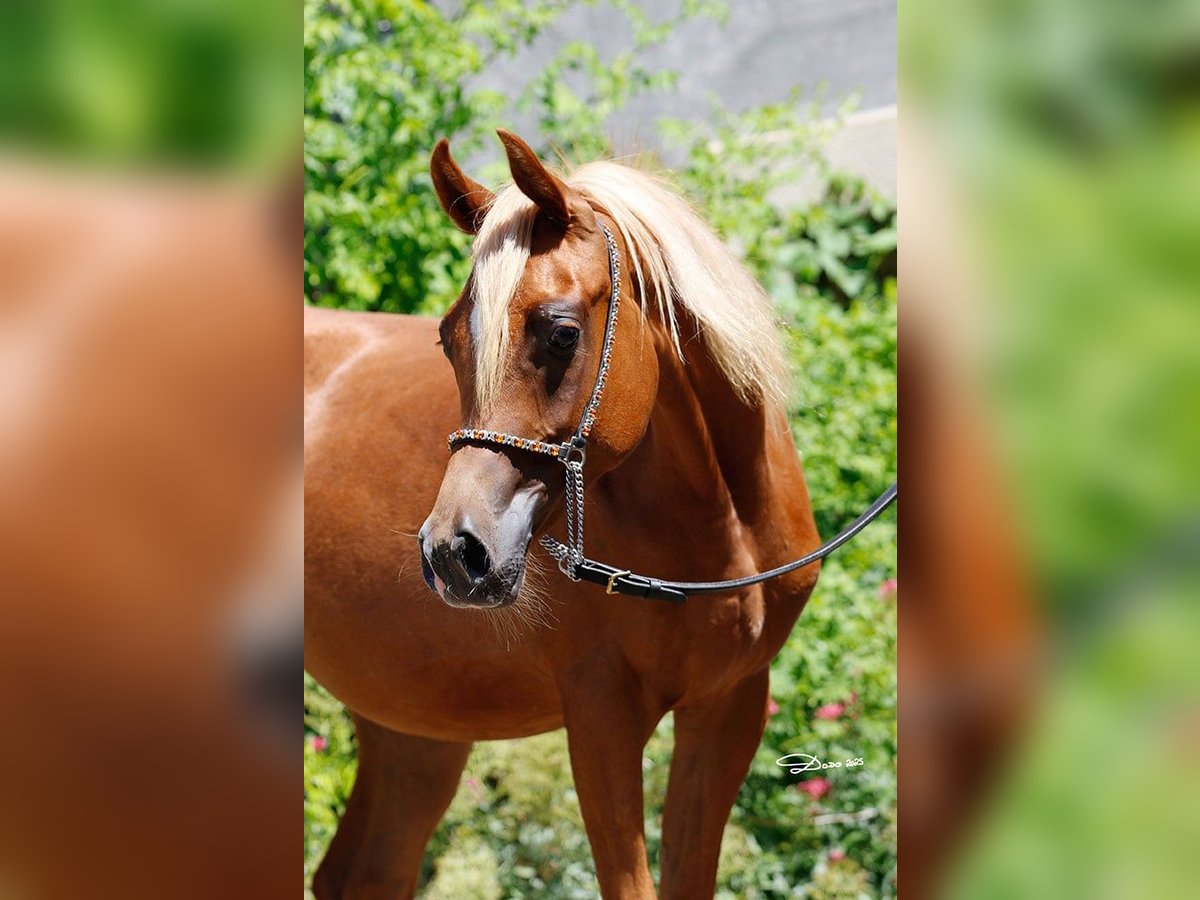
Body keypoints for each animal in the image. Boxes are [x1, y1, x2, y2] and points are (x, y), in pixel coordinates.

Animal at [304, 129, 825, 899]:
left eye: (560, 333)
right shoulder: (601, 712)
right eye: (450, 339)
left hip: (412, 727)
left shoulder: (728, 705)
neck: (719, 530)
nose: (454, 553)